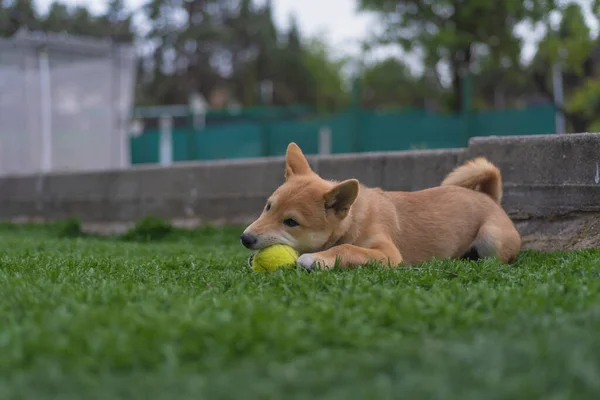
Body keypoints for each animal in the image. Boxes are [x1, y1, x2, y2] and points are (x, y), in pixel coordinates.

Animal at [239, 142, 520, 270]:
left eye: (291, 222)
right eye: (268, 207)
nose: (245, 238)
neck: (353, 221)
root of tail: (490, 198)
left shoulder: (388, 253)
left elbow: (348, 248)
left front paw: (317, 258)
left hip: (491, 238)